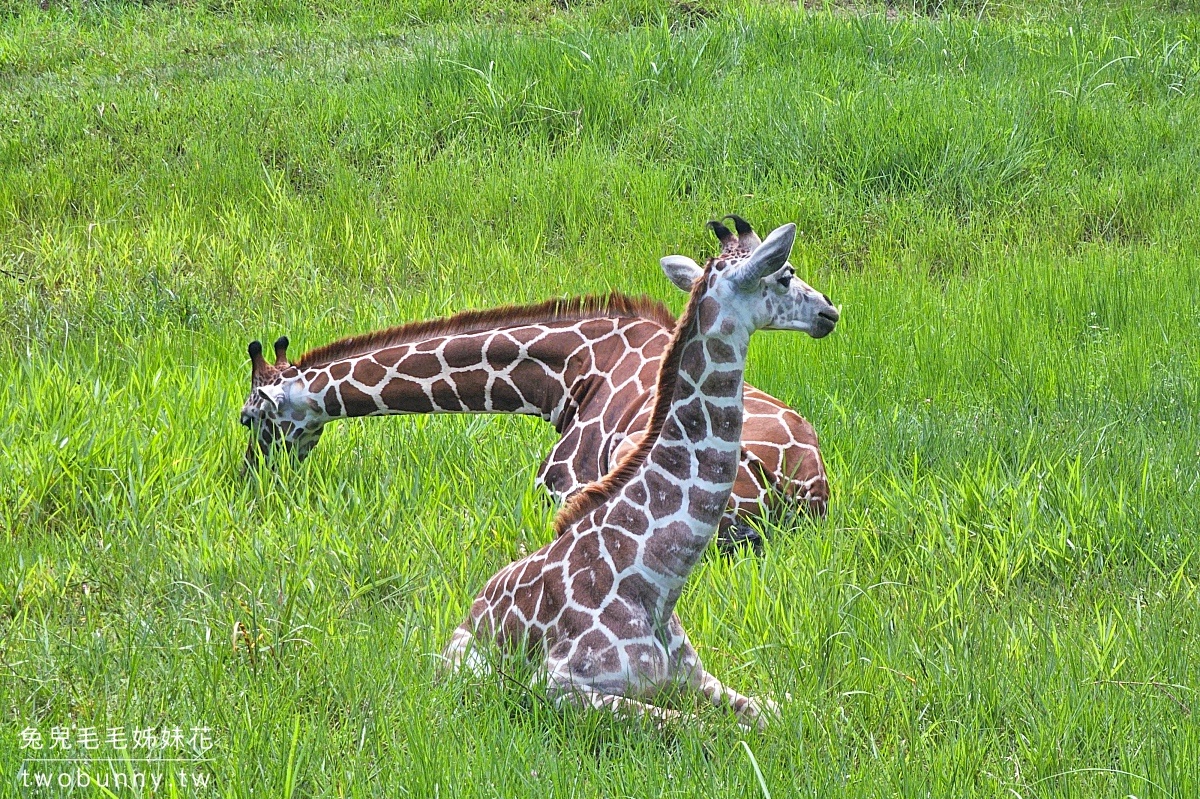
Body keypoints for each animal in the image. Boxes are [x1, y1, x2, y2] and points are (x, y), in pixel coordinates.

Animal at [238, 214, 830, 547]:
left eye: (249, 418)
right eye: (788, 274)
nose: (248, 480)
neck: (570, 374)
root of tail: (803, 493)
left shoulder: (556, 483)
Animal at [444, 220, 844, 724]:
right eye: (785, 274)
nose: (829, 311)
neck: (655, 583)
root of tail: (472, 609)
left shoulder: (698, 677)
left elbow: (786, 710)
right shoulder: (559, 687)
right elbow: (697, 727)